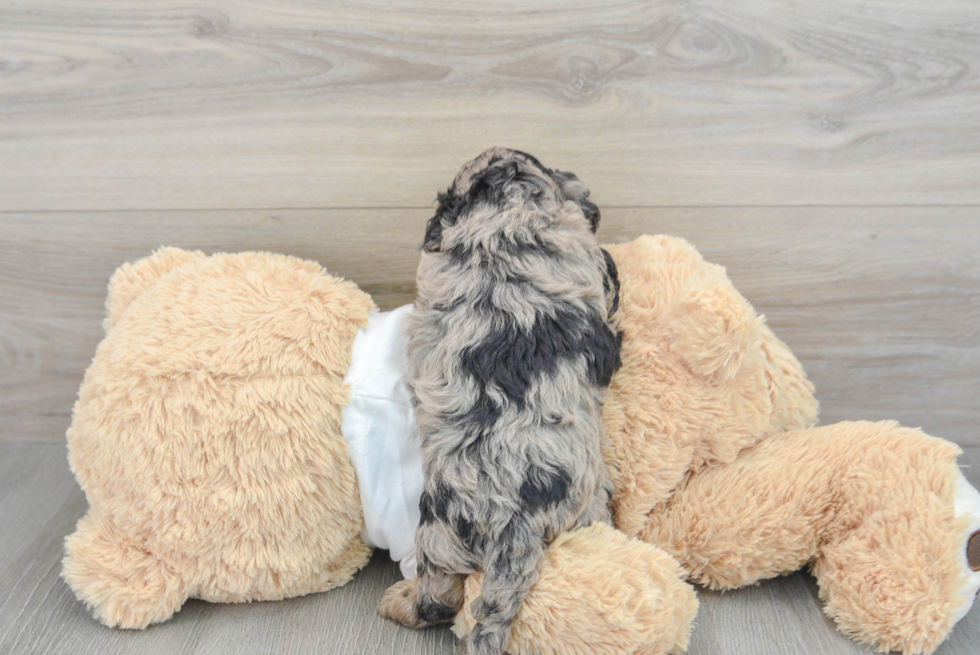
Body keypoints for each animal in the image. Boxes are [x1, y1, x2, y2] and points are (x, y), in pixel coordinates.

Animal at [380, 149, 620, 655]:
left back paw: (399, 600)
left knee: (439, 596)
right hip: (587, 508)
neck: (505, 214)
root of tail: (514, 525)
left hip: (437, 532)